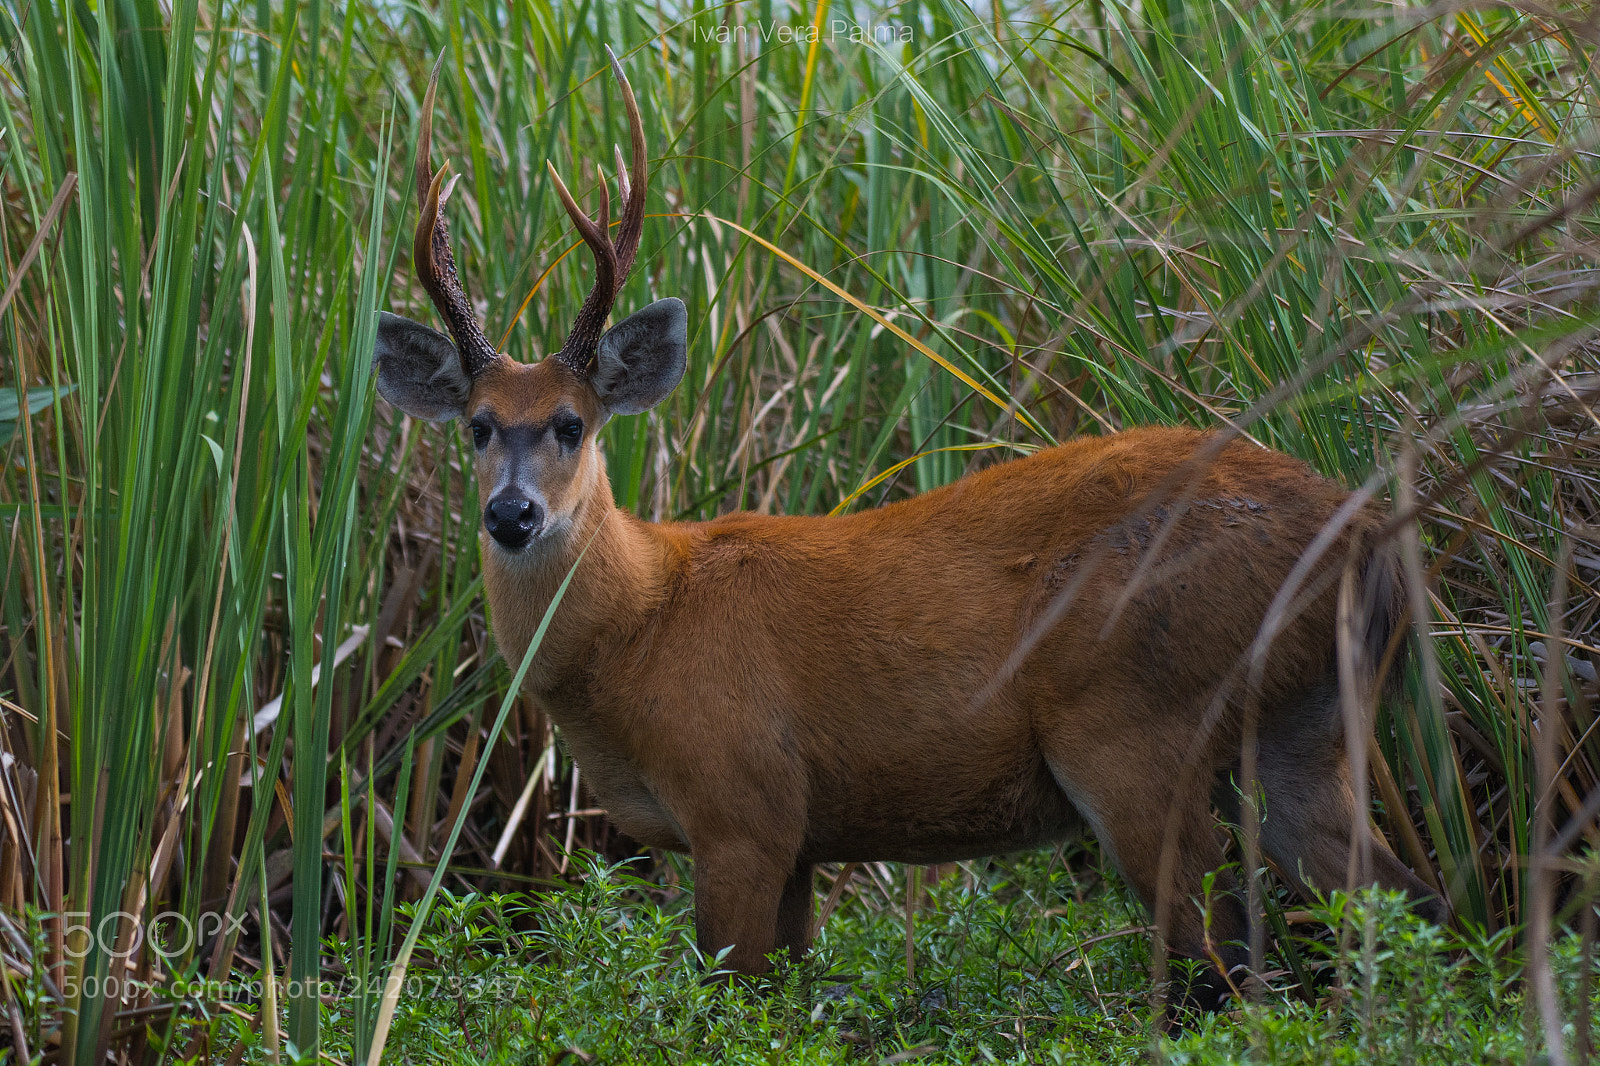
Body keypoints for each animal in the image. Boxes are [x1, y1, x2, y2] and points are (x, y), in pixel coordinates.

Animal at [372, 50, 1443, 1009]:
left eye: (572, 423)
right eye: (477, 425)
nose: (512, 513)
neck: (643, 621)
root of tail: (1365, 534)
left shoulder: (744, 805)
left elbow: (728, 998)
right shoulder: (801, 838)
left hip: (1138, 719)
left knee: (1226, 955)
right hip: (1308, 724)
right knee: (1404, 902)